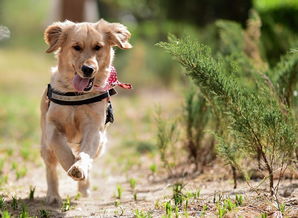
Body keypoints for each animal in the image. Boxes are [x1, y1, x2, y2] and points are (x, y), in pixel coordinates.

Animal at [39, 19, 132, 204]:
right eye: (76, 47)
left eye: (98, 47)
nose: (88, 69)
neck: (77, 93)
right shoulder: (52, 126)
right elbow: (62, 150)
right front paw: (70, 165)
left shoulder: (94, 129)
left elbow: (85, 154)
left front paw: (78, 169)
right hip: (45, 146)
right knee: (50, 167)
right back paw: (53, 195)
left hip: (101, 144)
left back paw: (84, 186)